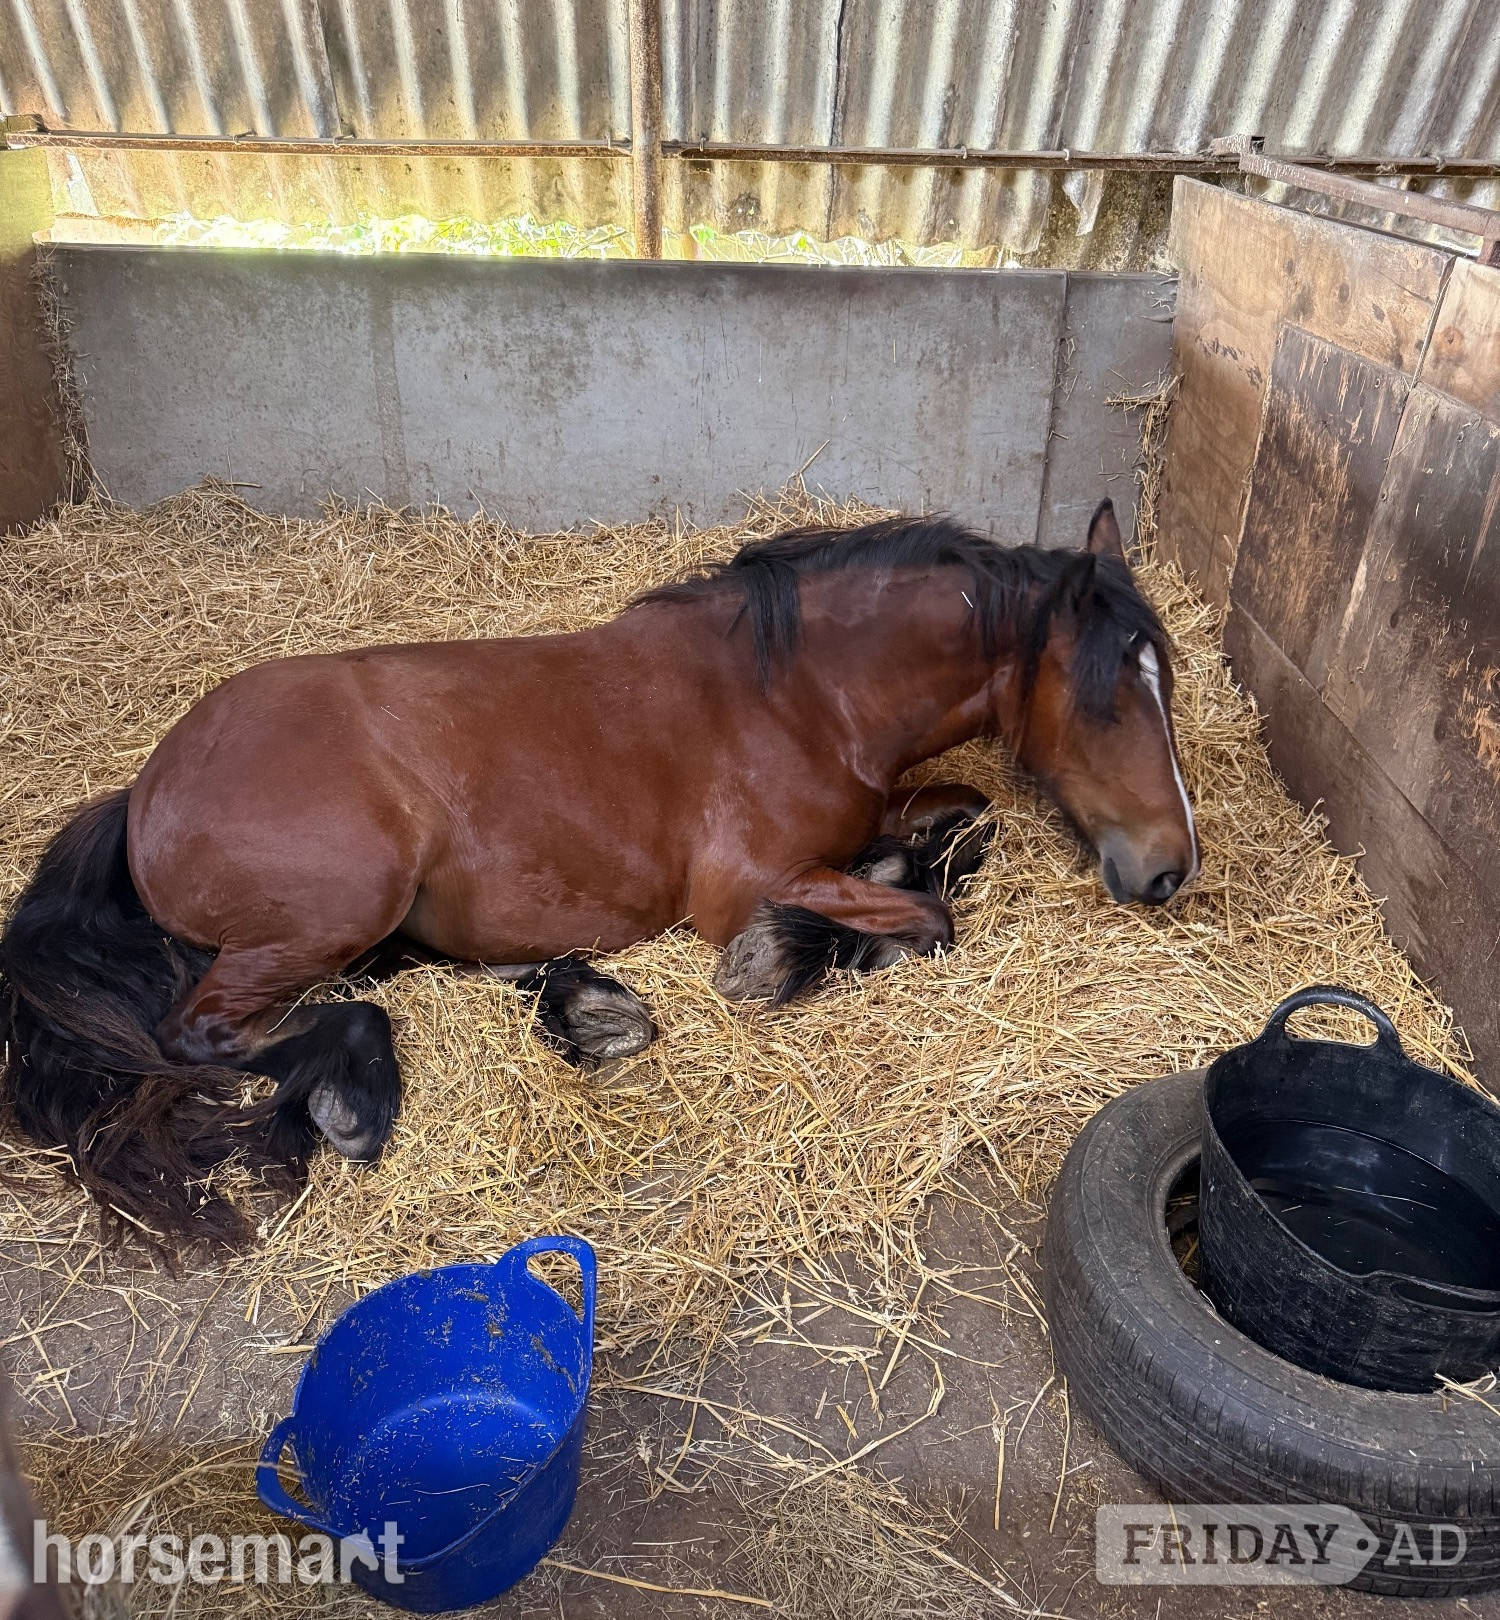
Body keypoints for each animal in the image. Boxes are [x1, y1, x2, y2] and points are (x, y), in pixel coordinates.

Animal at [0, 499, 1197, 1245]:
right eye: (1106, 699)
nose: (1171, 870)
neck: (802, 695)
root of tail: (142, 794)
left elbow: (959, 824)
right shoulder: (745, 881)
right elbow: (924, 921)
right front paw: (782, 957)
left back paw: (584, 1004)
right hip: (345, 900)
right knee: (205, 1032)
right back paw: (360, 1093)